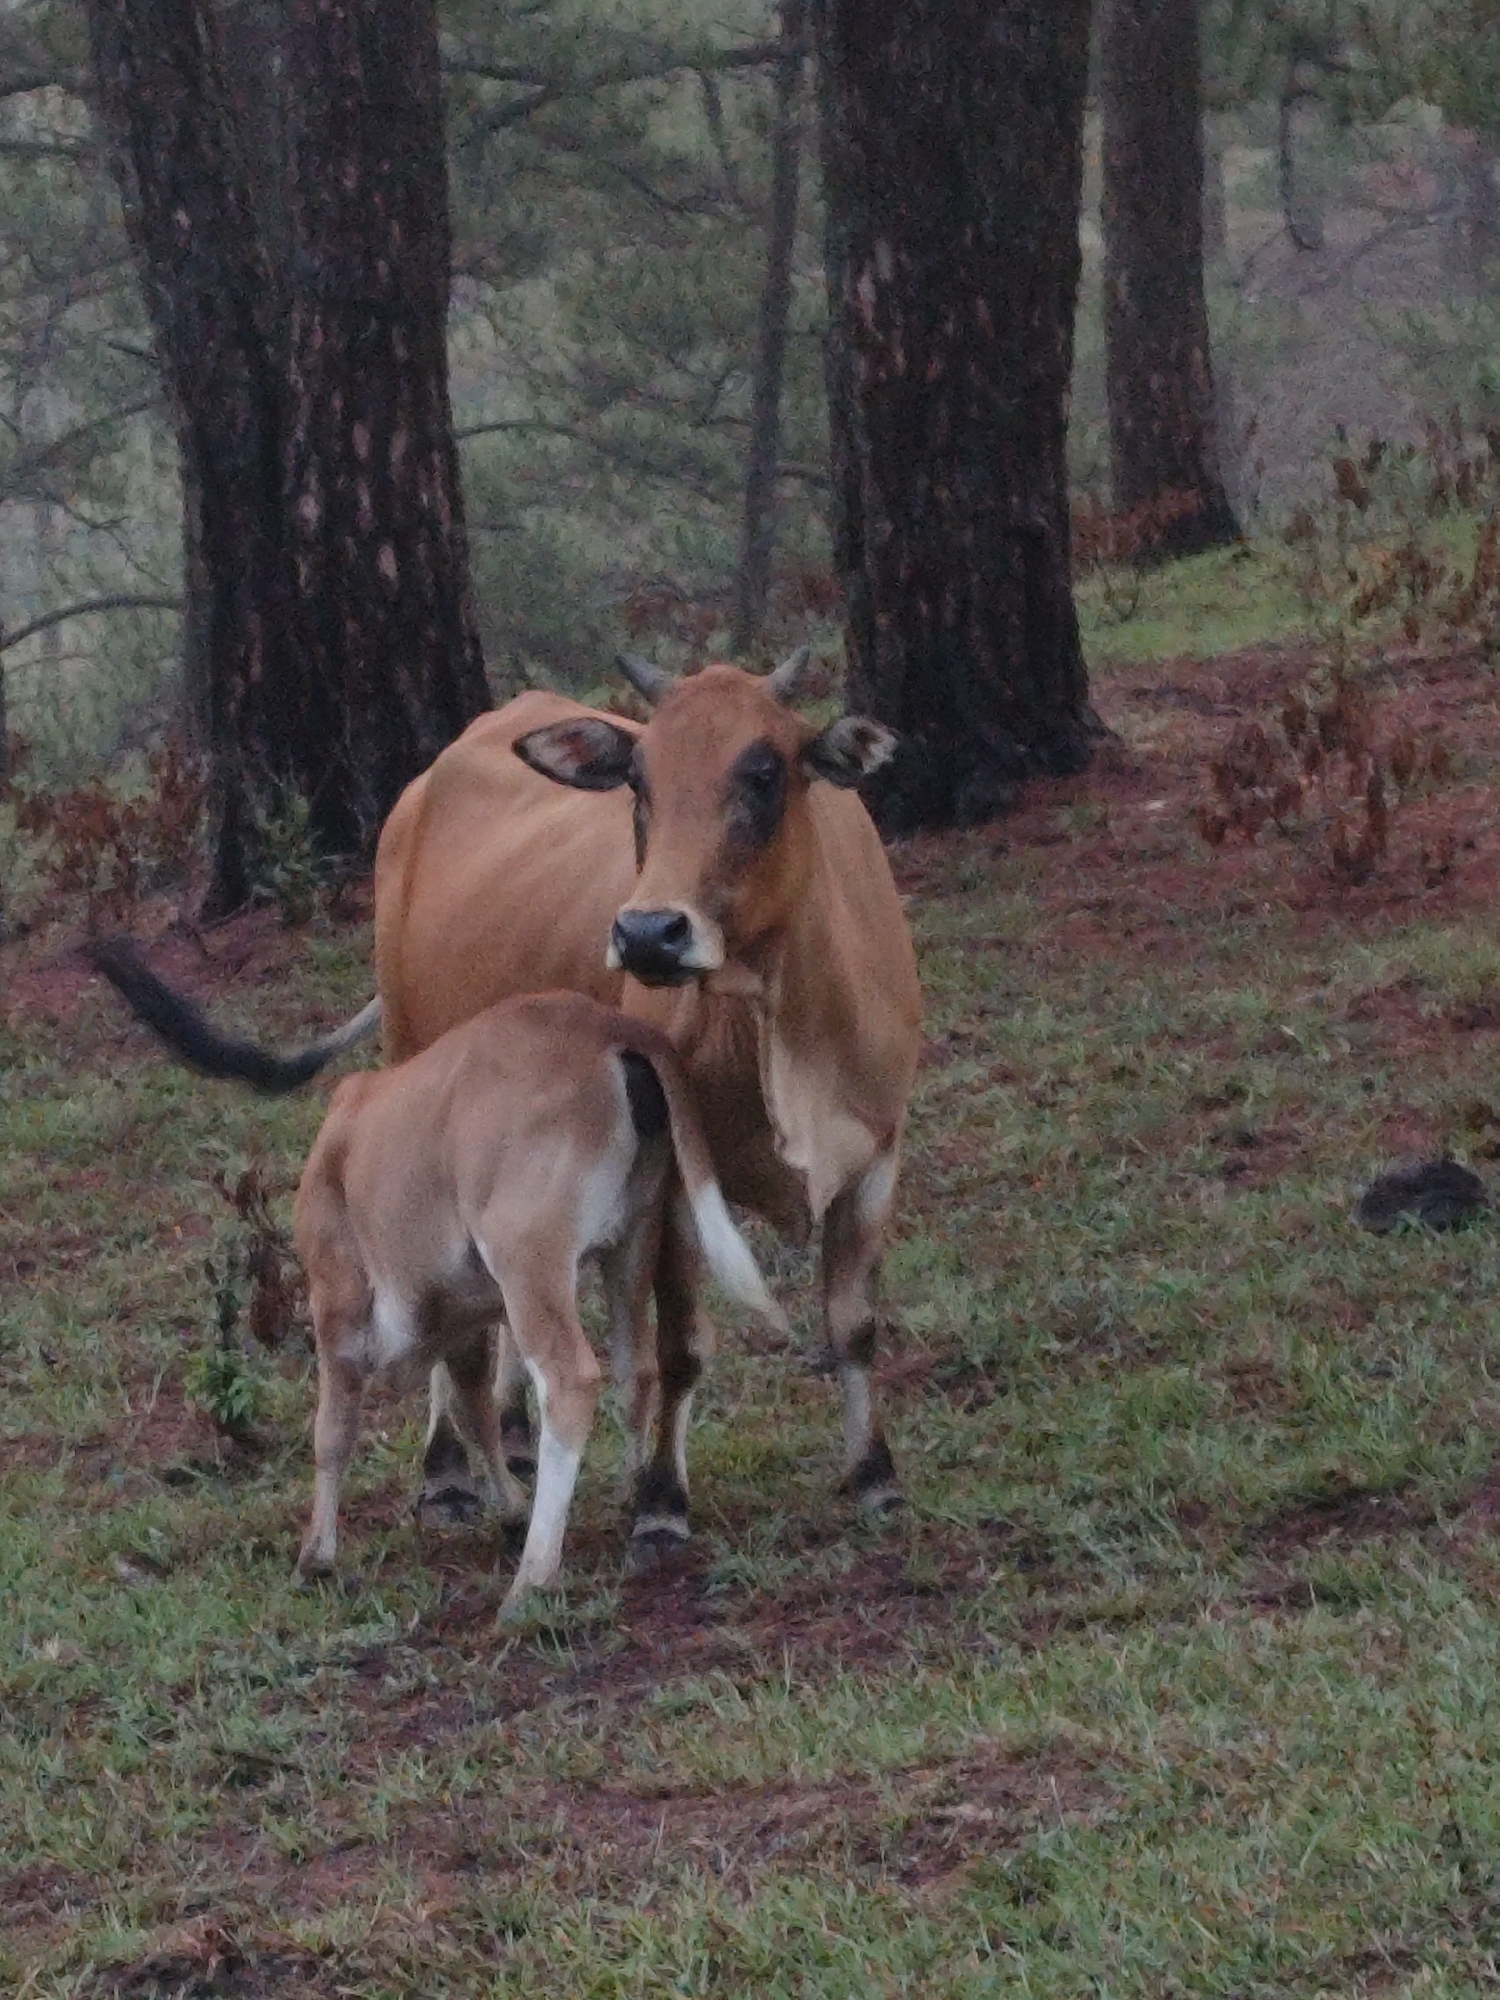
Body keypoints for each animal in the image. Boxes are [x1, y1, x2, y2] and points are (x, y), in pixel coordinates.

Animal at [91, 649, 922, 1543]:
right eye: (639, 781)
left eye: (764, 772)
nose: (648, 933)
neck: (781, 1027)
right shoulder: (674, 1186)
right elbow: (682, 1346)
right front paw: (662, 1503)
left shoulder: (878, 1156)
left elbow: (854, 1325)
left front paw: (875, 1475)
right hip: (415, 1081)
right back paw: (447, 1470)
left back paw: (516, 1432)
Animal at [294, 990, 782, 1605]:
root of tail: (612, 1030)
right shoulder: (465, 1316)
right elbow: (476, 1408)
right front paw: (509, 1509)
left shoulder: (338, 1303)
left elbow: (334, 1429)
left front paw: (316, 1555)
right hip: (633, 1243)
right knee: (638, 1371)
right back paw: (641, 1503)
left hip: (530, 1261)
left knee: (571, 1380)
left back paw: (533, 1576)